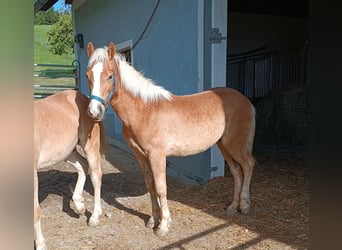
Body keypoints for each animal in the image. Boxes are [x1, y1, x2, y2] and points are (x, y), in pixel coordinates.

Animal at [33, 89, 106, 248]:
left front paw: (41, 244)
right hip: (67, 152)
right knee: (83, 166)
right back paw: (79, 205)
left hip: (89, 146)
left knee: (96, 174)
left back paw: (94, 217)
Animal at [87, 41, 255, 236]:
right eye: (88, 75)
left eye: (109, 76)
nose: (94, 112)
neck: (145, 111)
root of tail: (246, 101)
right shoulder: (141, 156)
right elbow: (150, 187)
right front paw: (153, 220)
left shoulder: (157, 156)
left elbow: (161, 189)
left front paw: (163, 225)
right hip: (224, 146)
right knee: (236, 171)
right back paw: (232, 206)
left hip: (235, 145)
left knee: (248, 165)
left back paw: (245, 206)